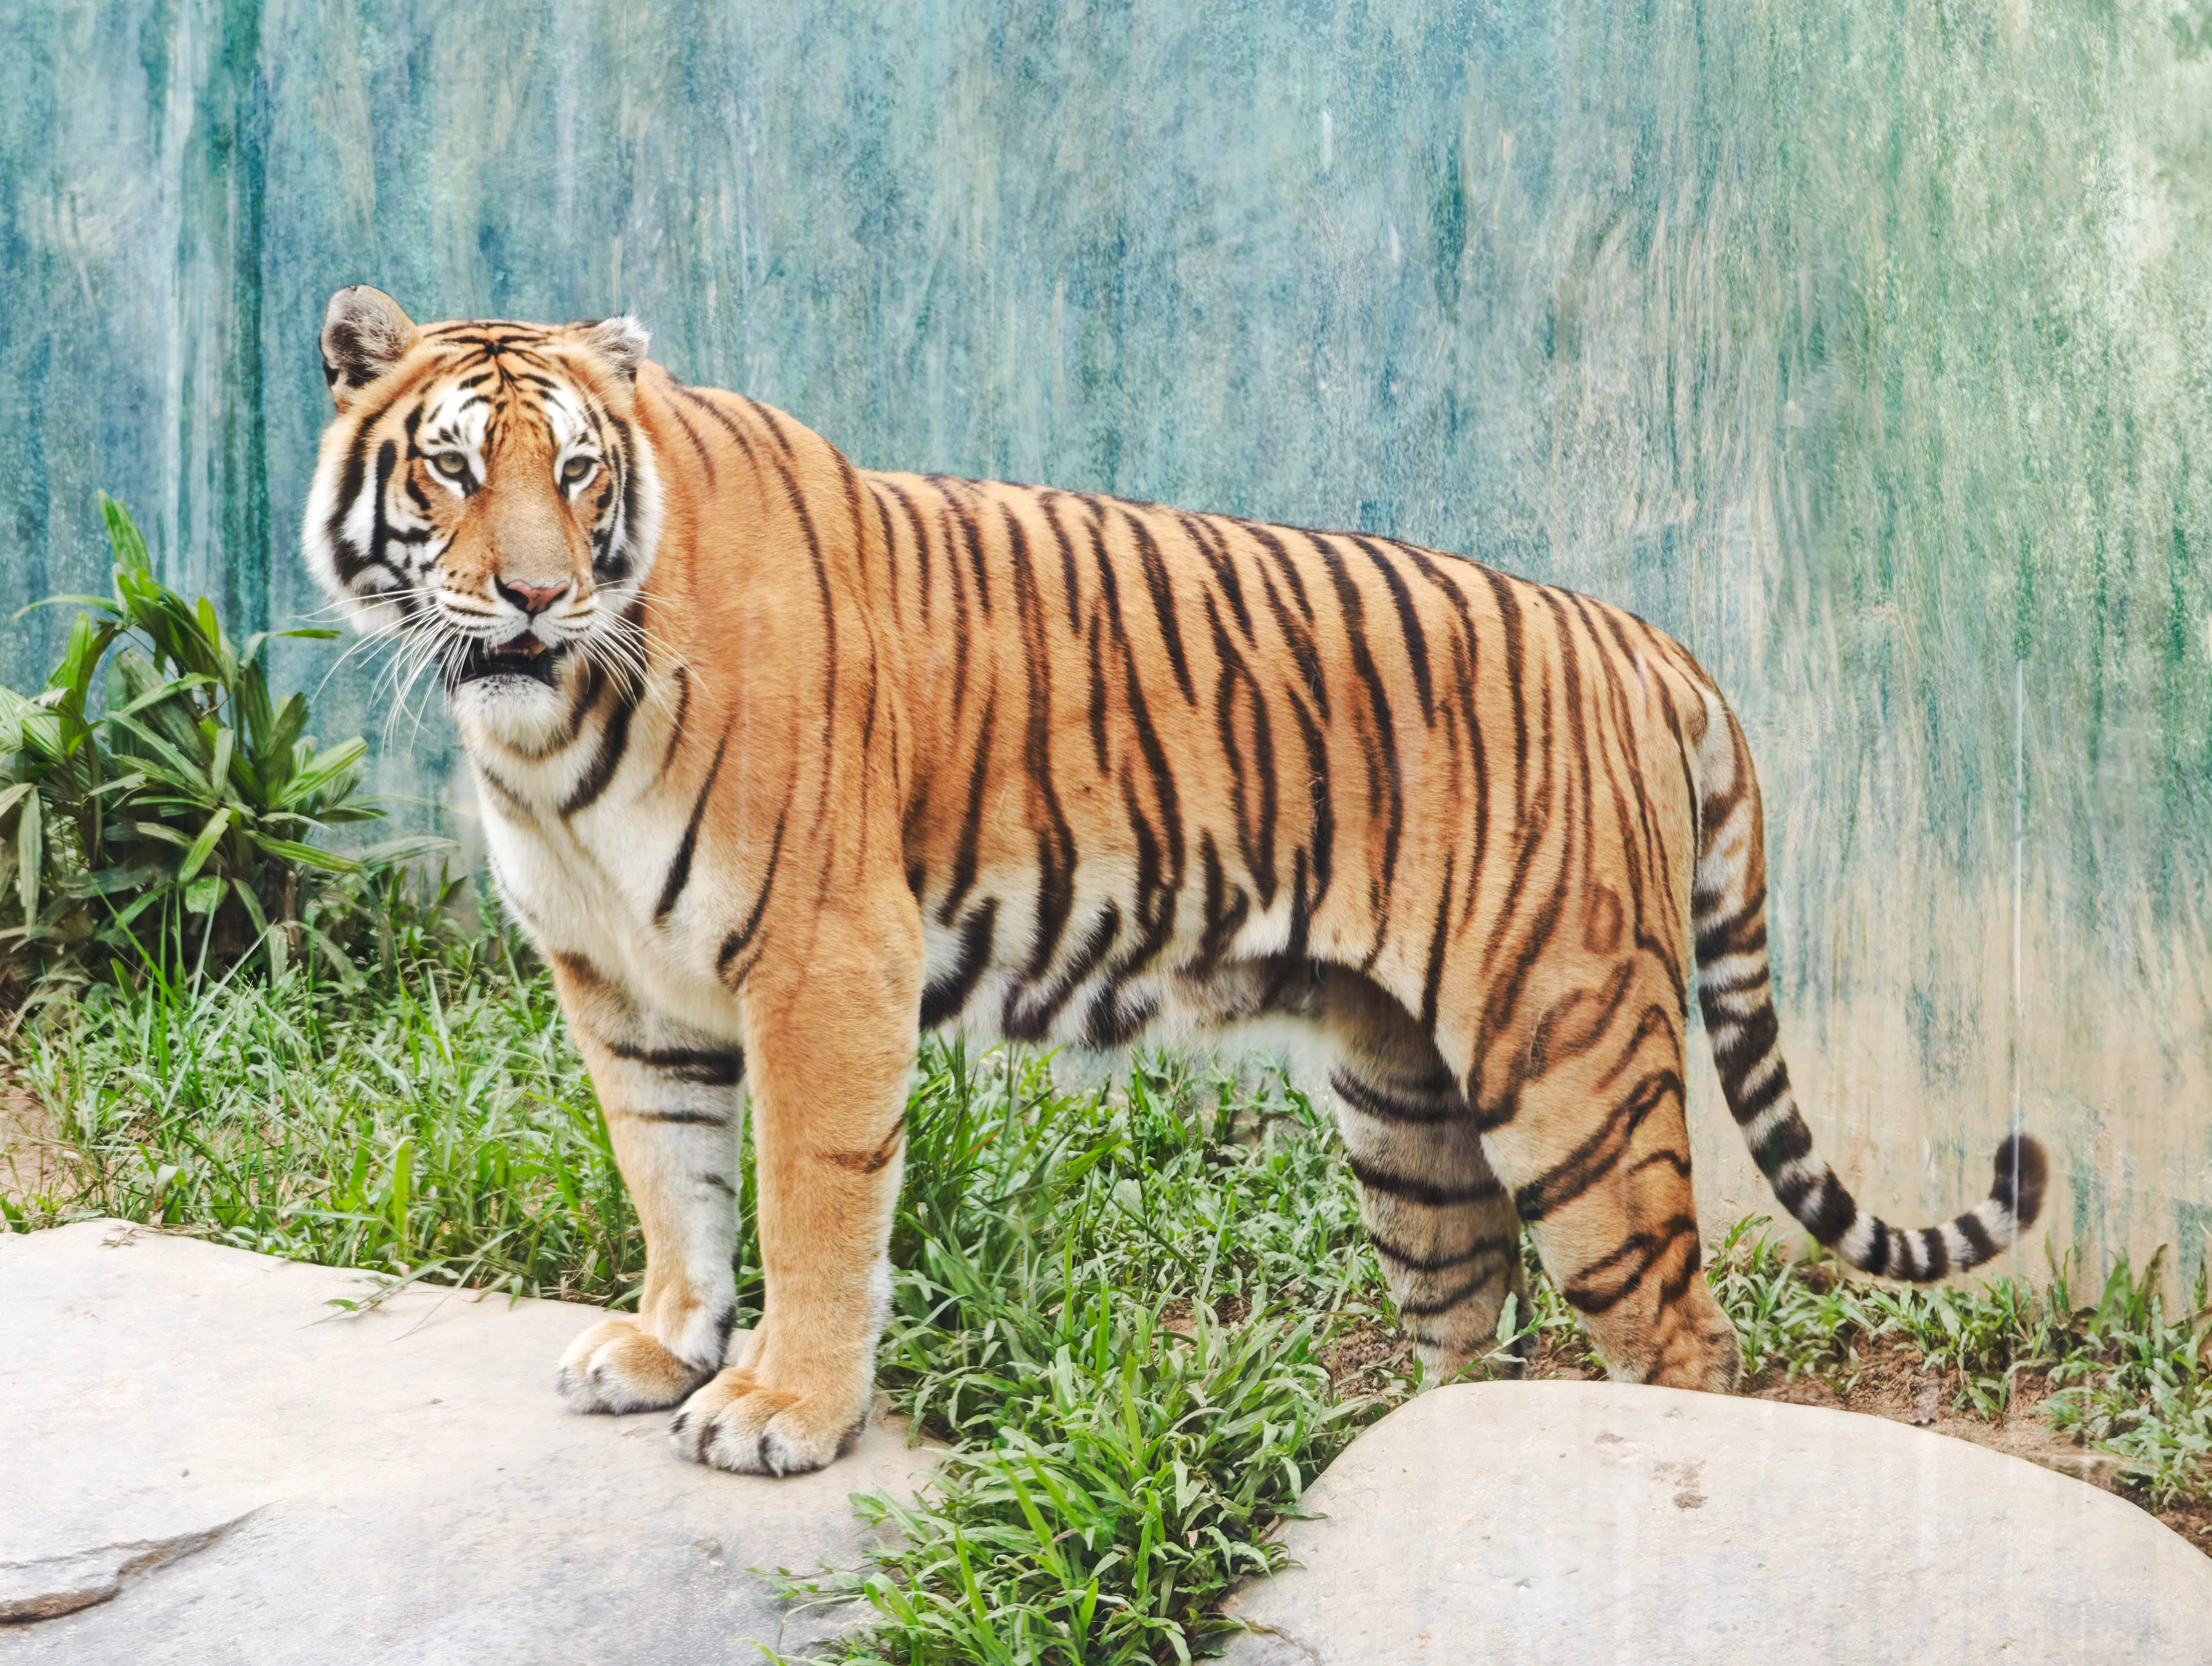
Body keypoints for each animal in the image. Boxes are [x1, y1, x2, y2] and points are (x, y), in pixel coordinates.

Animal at [302, 285, 2047, 1477]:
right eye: (449, 472)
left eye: (580, 477)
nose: (534, 595)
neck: (548, 726)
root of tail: (1650, 641)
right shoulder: (620, 979)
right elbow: (670, 1177)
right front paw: (665, 1347)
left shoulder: (822, 960)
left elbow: (808, 1199)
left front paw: (783, 1411)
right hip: (1406, 1108)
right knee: (1471, 1319)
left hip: (1572, 1067)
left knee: (1680, 1332)